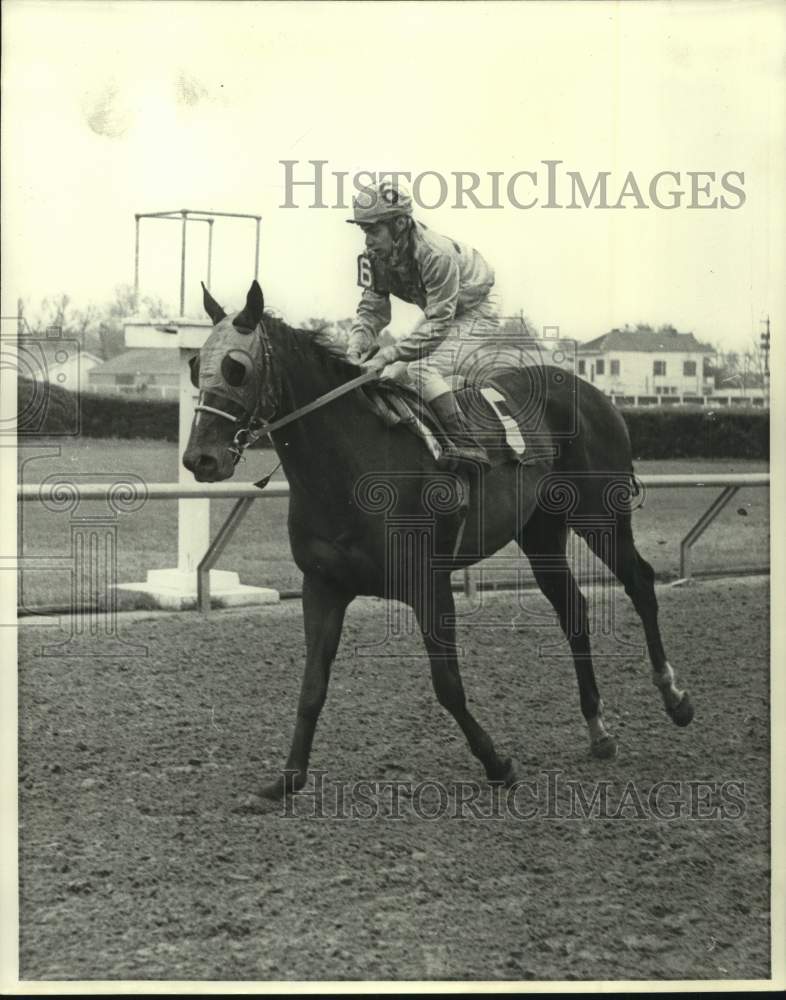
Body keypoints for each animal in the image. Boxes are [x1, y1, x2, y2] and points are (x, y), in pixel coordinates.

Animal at [184, 280, 692, 796]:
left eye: (237, 368)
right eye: (194, 366)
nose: (199, 459)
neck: (352, 466)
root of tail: (594, 393)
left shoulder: (429, 584)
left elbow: (447, 684)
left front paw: (497, 762)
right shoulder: (322, 586)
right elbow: (312, 687)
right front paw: (288, 778)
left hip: (600, 516)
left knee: (640, 582)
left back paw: (674, 697)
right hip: (541, 534)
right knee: (573, 610)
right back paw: (598, 729)